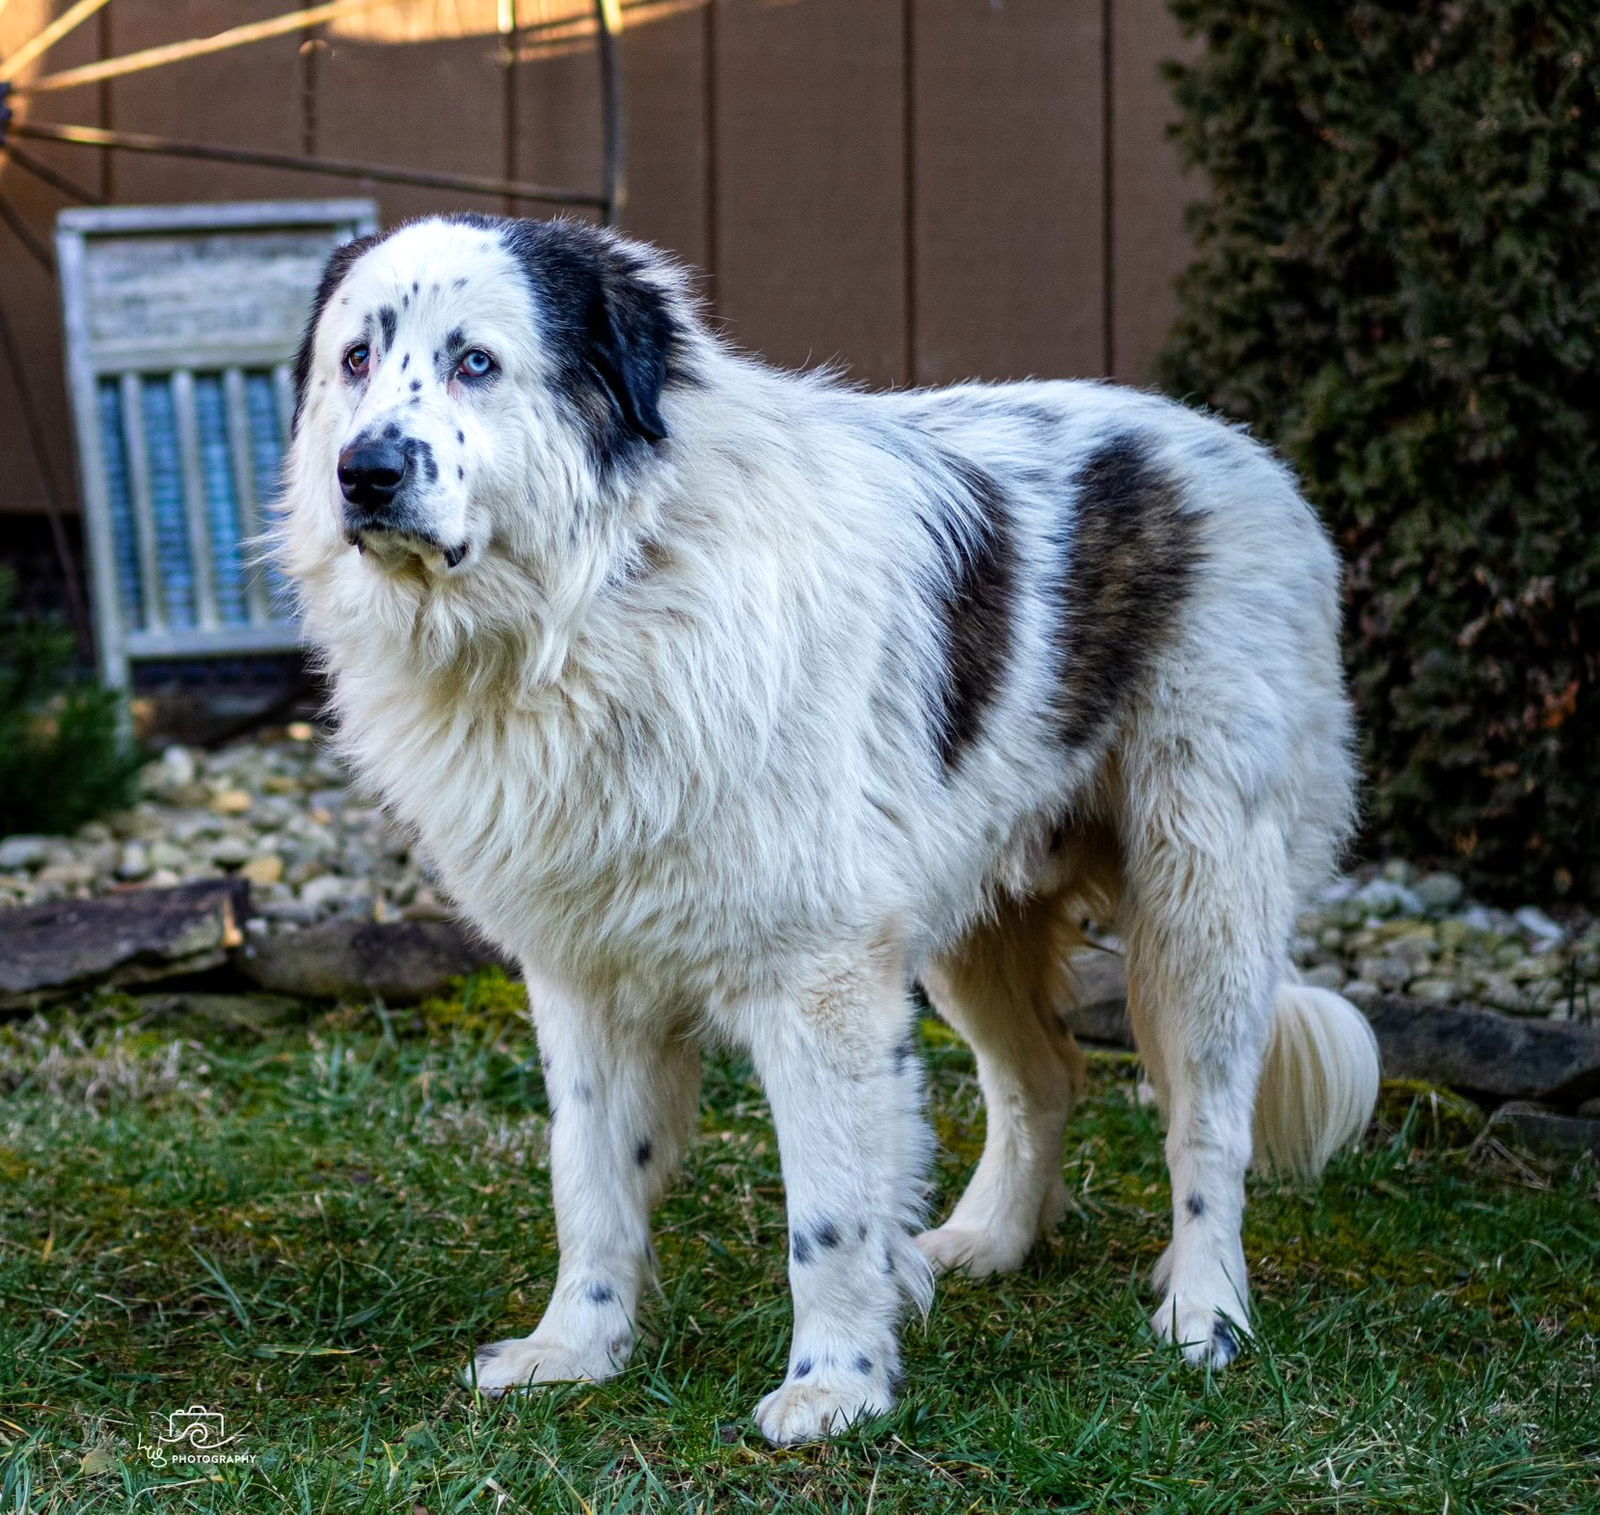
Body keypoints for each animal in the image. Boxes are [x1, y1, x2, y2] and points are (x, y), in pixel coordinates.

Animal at [281, 212, 1382, 1446]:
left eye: (475, 361)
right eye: (356, 361)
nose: (364, 472)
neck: (605, 595)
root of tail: (1239, 454)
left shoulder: (820, 977)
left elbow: (830, 1211)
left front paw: (836, 1389)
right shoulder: (586, 974)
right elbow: (592, 1182)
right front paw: (574, 1351)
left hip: (1203, 899)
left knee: (1206, 1128)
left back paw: (1204, 1312)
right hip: (971, 920)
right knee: (1044, 1075)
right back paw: (986, 1242)